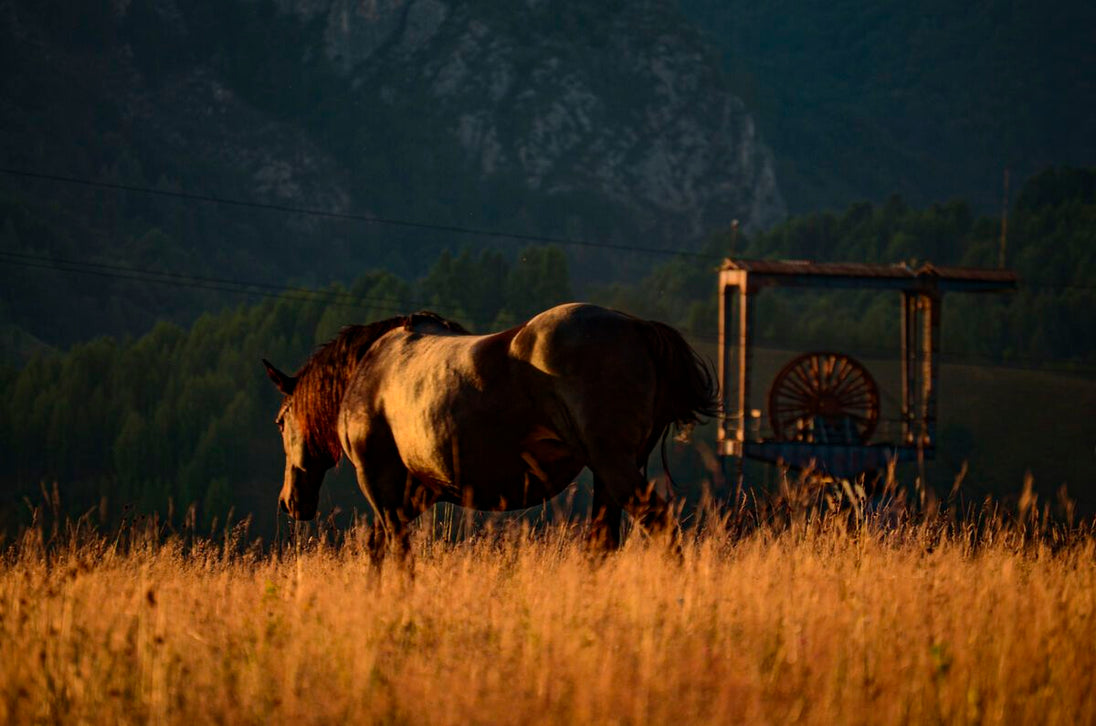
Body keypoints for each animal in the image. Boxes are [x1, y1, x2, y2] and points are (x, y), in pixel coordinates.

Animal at [261, 300, 714, 557]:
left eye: (280, 422)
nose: (288, 502)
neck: (373, 364)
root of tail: (637, 327)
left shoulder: (380, 483)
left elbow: (393, 549)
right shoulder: (420, 492)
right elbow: (380, 546)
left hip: (615, 467)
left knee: (661, 530)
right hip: (610, 476)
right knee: (602, 544)